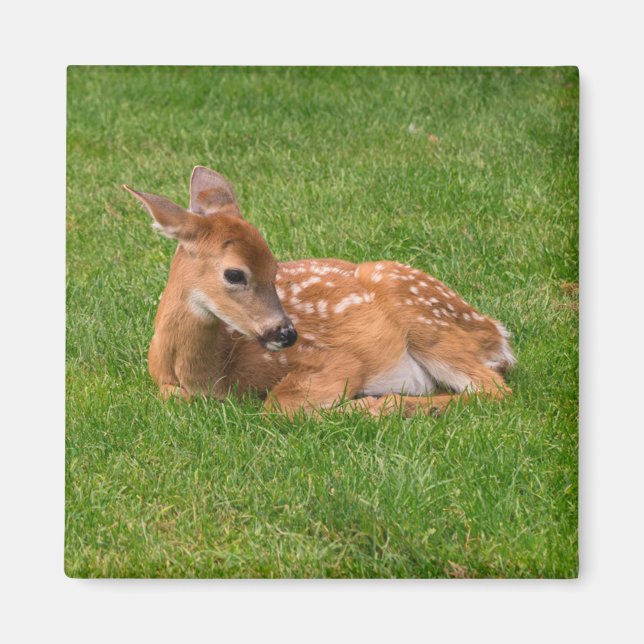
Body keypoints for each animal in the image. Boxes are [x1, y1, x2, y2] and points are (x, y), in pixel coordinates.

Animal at [123, 166, 515, 418]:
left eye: (275, 268)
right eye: (234, 274)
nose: (287, 334)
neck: (212, 372)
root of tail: (496, 333)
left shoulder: (336, 360)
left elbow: (278, 405)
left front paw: (363, 404)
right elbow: (173, 397)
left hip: (426, 320)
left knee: (495, 390)